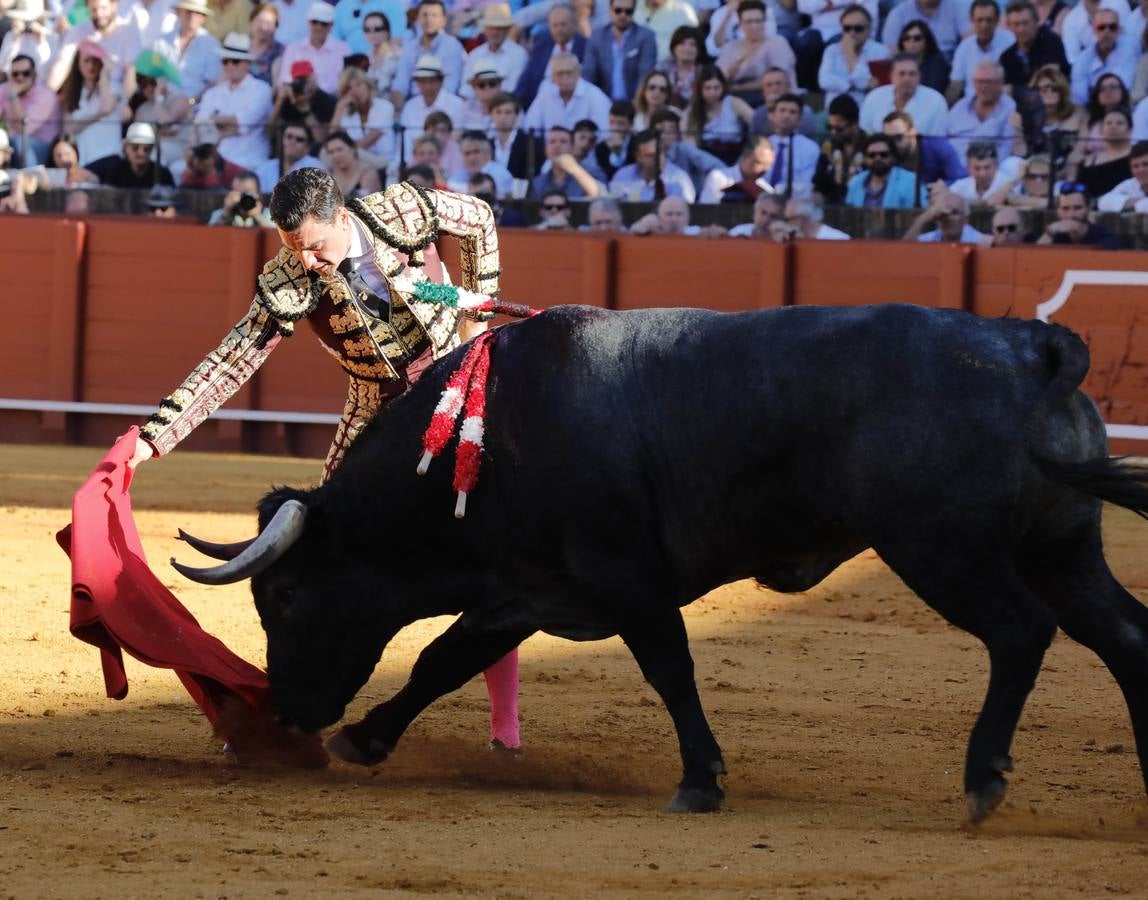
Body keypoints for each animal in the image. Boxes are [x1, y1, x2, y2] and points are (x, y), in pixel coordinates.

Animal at [172, 305, 1148, 817]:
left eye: (284, 594)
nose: (290, 711)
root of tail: (1029, 346)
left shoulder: (624, 581)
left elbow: (670, 668)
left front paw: (700, 781)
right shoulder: (528, 590)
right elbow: (443, 659)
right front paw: (368, 738)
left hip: (939, 549)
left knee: (1020, 632)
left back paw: (983, 781)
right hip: (1064, 546)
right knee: (1125, 635)